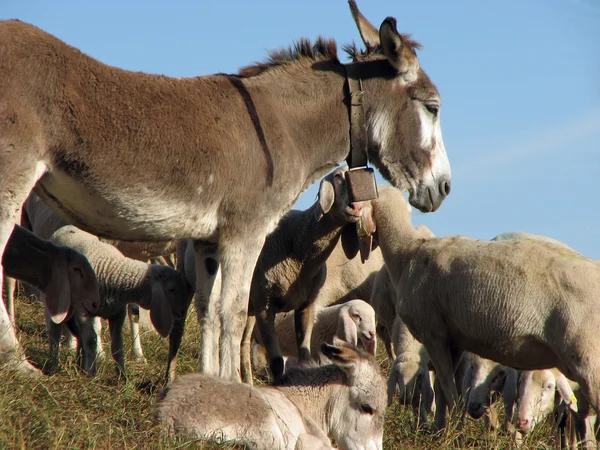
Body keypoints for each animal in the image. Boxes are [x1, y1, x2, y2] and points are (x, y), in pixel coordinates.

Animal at [47, 225, 192, 376]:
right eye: (172, 290)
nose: (182, 312)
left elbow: (128, 323)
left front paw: (130, 364)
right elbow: (92, 332)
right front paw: (95, 361)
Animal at [364, 185, 600, 430]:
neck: (408, 252)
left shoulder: (432, 333)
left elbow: (447, 386)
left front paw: (452, 430)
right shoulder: (453, 338)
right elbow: (443, 388)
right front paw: (442, 427)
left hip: (588, 357)